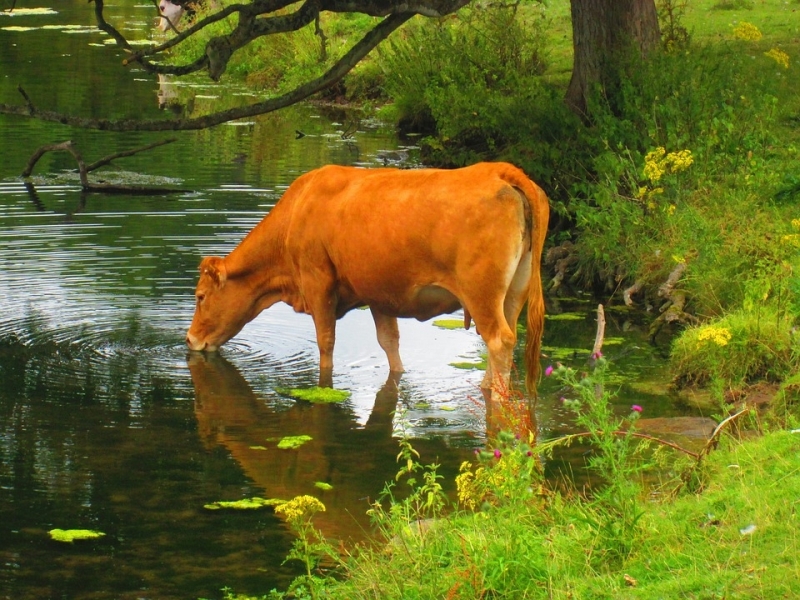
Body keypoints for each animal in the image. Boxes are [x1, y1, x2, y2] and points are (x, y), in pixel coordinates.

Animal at [188, 164, 552, 396]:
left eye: (200, 296)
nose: (190, 340)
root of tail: (498, 169)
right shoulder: (379, 294)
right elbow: (389, 342)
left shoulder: (318, 283)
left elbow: (326, 343)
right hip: (514, 291)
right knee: (507, 337)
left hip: (482, 294)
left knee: (499, 341)